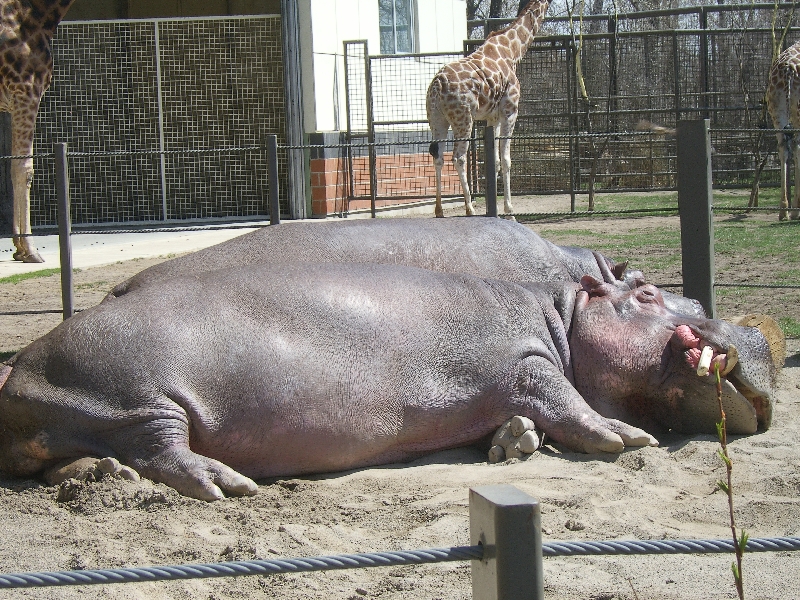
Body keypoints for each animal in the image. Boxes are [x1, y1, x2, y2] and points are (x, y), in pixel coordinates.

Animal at [0, 0, 76, 262]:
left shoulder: (14, 102)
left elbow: (12, 167)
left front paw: (19, 248)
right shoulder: (27, 91)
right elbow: (24, 169)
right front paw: (30, 250)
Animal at [424, 0, 552, 219]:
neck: (513, 51)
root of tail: (437, 86)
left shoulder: (492, 117)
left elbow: (495, 161)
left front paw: (495, 210)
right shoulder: (510, 110)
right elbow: (506, 160)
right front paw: (509, 211)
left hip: (437, 120)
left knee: (438, 157)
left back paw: (439, 210)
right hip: (463, 119)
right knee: (459, 157)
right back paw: (469, 209)